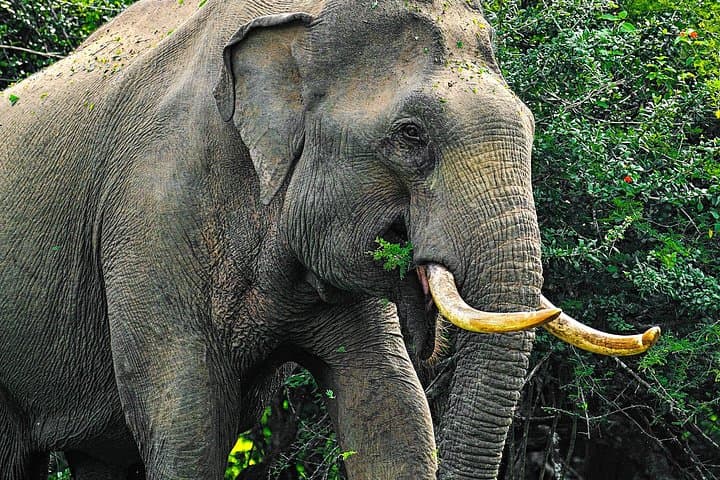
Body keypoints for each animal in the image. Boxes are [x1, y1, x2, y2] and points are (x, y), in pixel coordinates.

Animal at [0, 0, 660, 478]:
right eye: (411, 135)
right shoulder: (155, 202)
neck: (300, 22)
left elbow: (390, 406)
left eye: (529, 125)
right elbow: (186, 416)